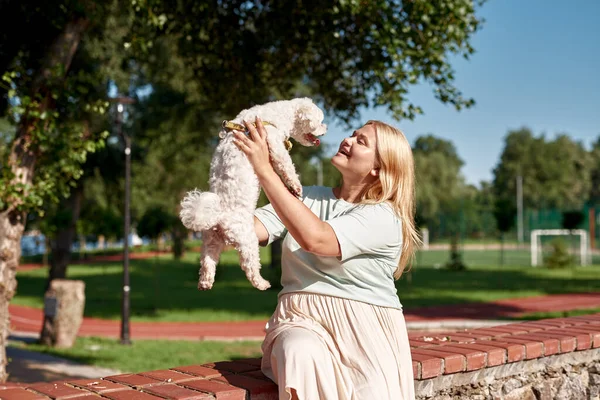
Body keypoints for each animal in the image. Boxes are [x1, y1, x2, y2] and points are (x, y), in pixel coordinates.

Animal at [179, 97, 326, 290]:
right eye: (321, 120)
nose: (326, 129)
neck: (279, 114)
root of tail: (219, 217)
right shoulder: (273, 142)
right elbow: (286, 165)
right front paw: (295, 186)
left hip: (211, 242)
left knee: (207, 264)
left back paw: (205, 283)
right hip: (248, 240)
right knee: (249, 266)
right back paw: (262, 283)